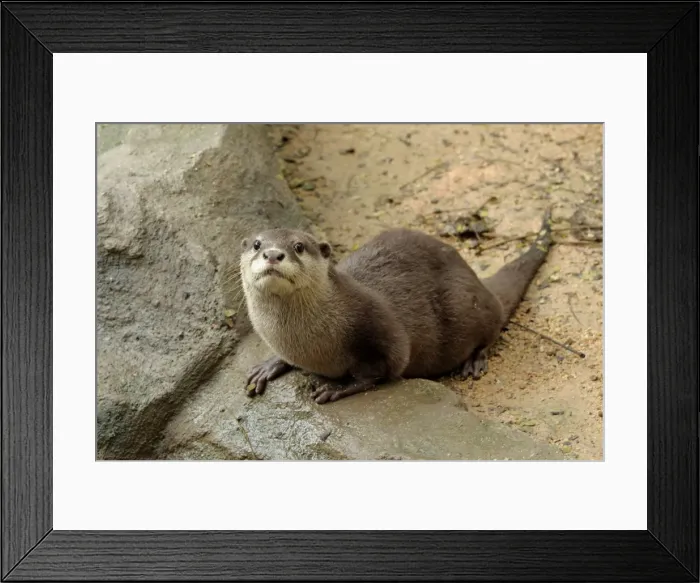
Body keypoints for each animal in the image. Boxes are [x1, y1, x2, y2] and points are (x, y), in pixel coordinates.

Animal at [240, 208, 553, 404]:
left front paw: (337, 387)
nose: (273, 254)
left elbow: (379, 369)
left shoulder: (379, 328)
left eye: (299, 246)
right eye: (256, 244)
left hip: (469, 305)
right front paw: (270, 364)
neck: (306, 343)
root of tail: (477, 281)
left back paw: (474, 360)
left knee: (492, 326)